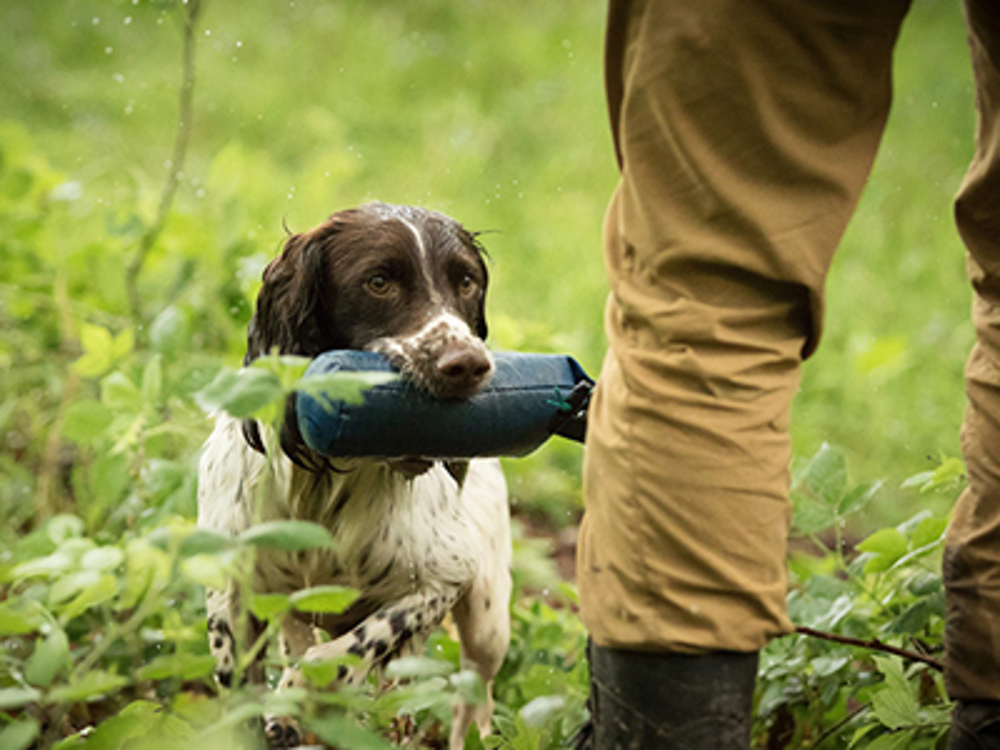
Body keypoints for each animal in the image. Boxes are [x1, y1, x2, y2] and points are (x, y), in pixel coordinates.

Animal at [201, 203, 516, 748]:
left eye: (467, 281)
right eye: (378, 281)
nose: (470, 364)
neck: (322, 483)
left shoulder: (445, 576)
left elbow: (351, 648)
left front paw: (302, 691)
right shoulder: (233, 591)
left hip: (488, 621)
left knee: (471, 696)